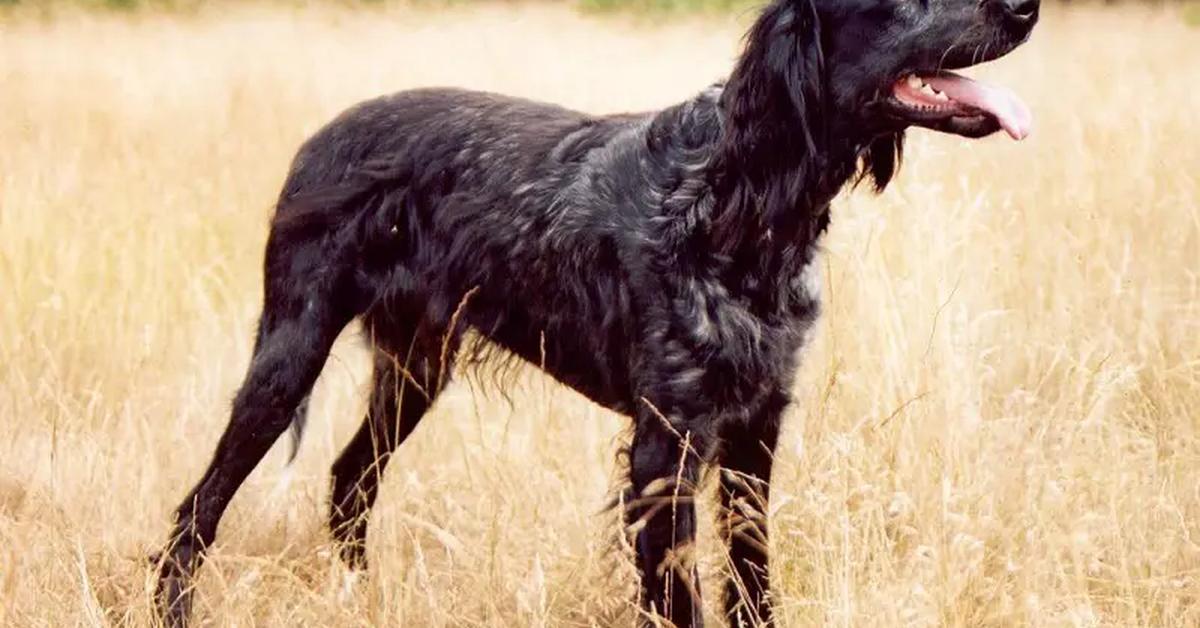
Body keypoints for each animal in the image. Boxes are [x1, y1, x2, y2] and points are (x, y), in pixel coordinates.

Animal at [154, 0, 1036, 624]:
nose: (1026, 5)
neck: (733, 203)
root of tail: (317, 140)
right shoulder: (666, 447)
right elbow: (681, 600)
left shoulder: (755, 430)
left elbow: (752, 584)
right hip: (289, 355)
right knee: (199, 509)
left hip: (415, 370)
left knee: (346, 484)